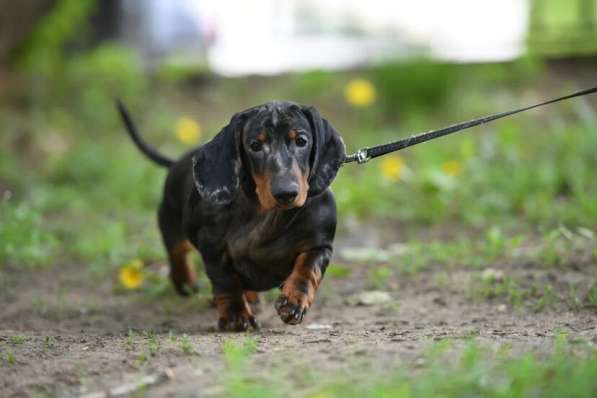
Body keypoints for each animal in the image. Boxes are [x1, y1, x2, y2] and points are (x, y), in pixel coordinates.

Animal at [116, 101, 344, 332]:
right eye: (255, 145)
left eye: (301, 141)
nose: (286, 193)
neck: (268, 214)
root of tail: (176, 163)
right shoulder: (213, 247)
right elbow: (226, 281)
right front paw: (236, 316)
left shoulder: (319, 245)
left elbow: (307, 269)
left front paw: (294, 301)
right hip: (172, 223)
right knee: (176, 252)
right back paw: (185, 283)